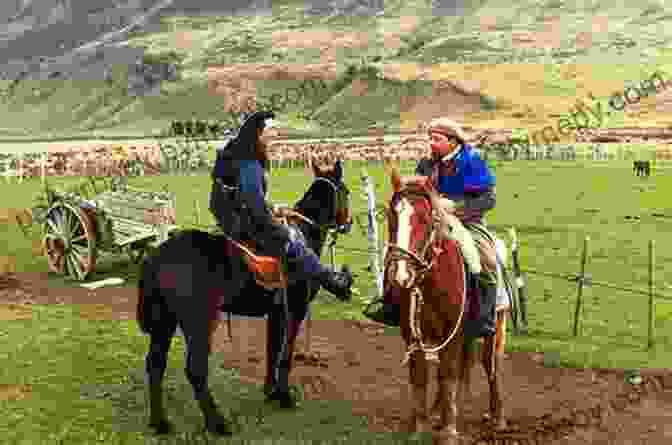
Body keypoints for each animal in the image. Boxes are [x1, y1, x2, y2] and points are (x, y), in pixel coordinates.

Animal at [380, 166, 506, 440]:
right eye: (392, 216)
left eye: (426, 219)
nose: (401, 275)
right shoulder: (413, 336)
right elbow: (420, 376)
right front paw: (419, 426)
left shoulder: (453, 334)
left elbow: (448, 375)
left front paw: (449, 430)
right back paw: (438, 410)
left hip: (494, 327)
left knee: (490, 365)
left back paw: (497, 416)